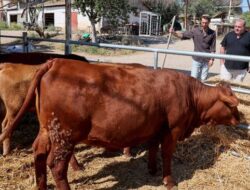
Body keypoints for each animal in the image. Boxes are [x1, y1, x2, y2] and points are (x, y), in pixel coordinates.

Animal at [0, 58, 240, 189]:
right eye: (232, 106)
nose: (240, 120)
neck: (189, 94)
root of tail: (56, 62)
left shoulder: (155, 127)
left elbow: (153, 149)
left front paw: (152, 169)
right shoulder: (172, 130)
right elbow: (167, 156)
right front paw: (169, 181)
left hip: (47, 131)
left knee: (38, 153)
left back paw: (40, 185)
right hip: (65, 135)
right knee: (57, 166)